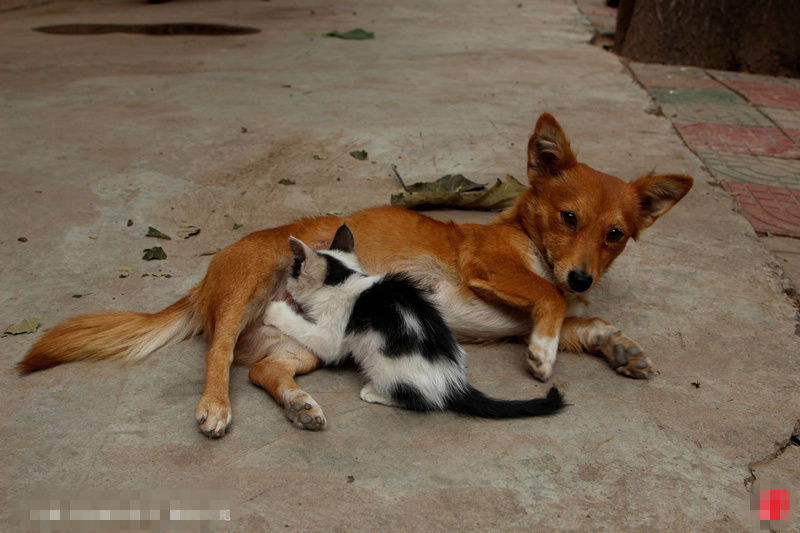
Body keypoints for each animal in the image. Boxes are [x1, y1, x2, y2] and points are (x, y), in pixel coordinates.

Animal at [266, 222, 564, 418]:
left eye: (294, 271)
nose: (287, 283)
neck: (346, 280)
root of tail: (452, 382)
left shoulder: (333, 334)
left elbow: (313, 335)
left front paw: (275, 310)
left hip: (381, 361)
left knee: (423, 401)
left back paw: (374, 393)